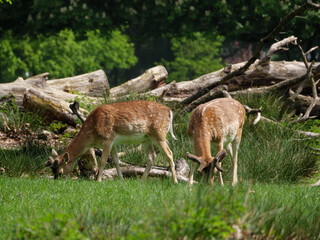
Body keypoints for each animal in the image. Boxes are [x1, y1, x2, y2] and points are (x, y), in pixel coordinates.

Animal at [46, 100, 179, 183]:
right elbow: (115, 160)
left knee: (170, 154)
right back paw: (142, 180)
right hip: (147, 139)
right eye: (52, 170)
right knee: (152, 156)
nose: (56, 181)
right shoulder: (114, 143)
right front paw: (121, 179)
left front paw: (98, 180)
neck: (91, 136)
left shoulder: (108, 138)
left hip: (159, 134)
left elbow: (103, 160)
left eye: (60, 171)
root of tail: (170, 111)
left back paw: (175, 181)